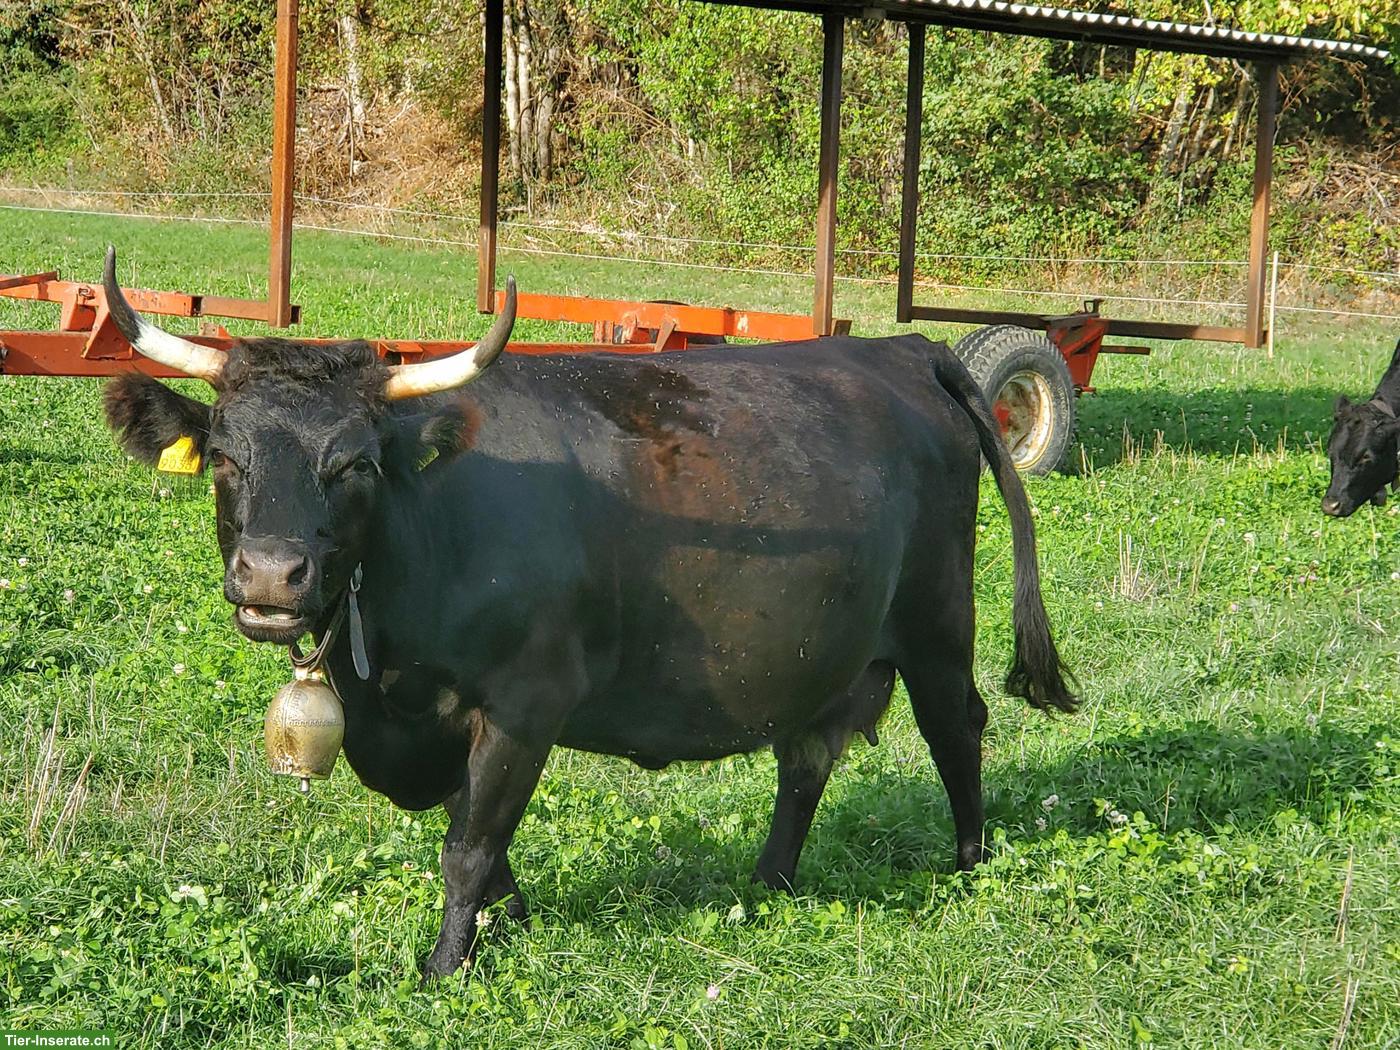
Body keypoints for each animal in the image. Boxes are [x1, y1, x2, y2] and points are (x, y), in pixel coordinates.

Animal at [97, 247, 1076, 979]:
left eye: (355, 464)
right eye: (225, 456)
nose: (271, 574)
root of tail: (903, 349)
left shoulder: (526, 704)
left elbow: (469, 844)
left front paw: (444, 967)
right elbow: (479, 840)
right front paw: (513, 922)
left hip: (938, 623)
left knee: (957, 728)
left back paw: (969, 864)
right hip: (829, 650)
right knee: (805, 759)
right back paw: (769, 882)